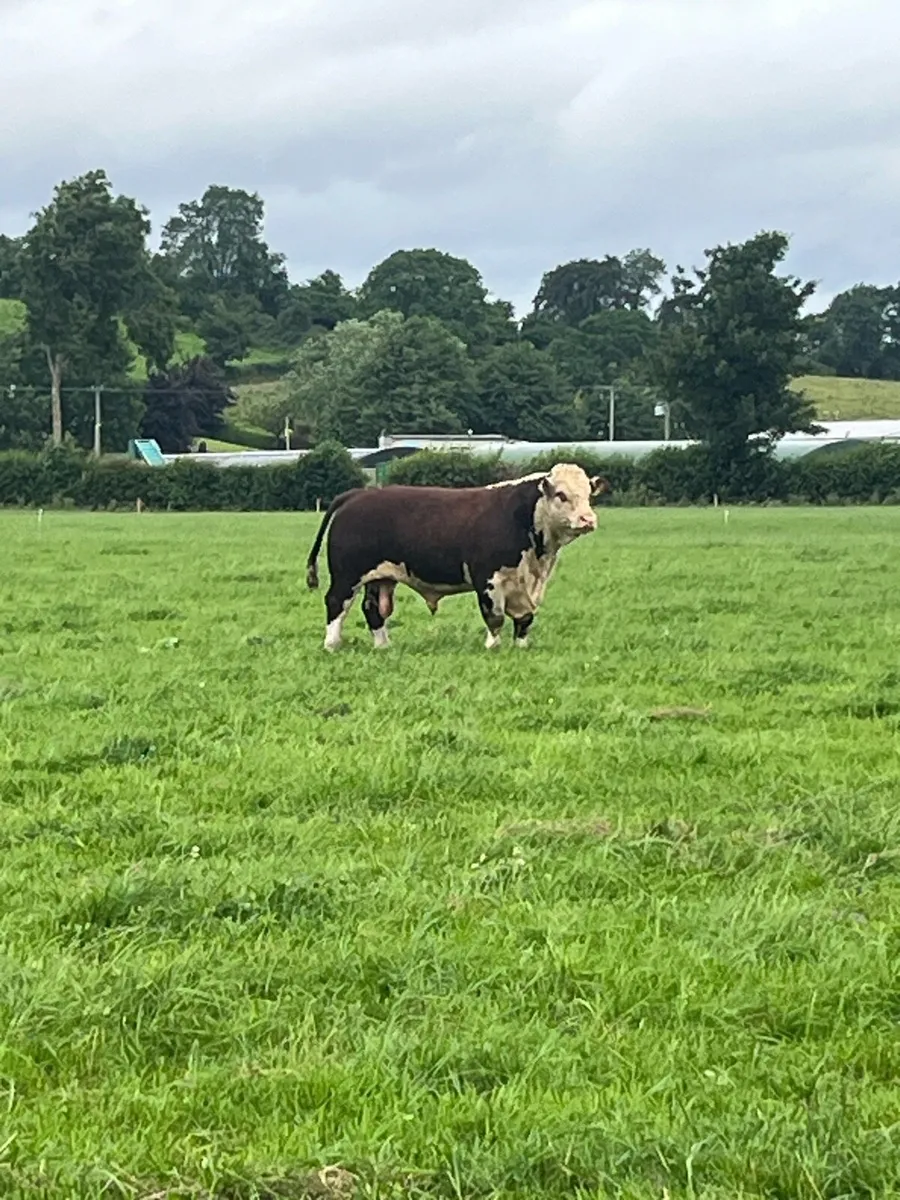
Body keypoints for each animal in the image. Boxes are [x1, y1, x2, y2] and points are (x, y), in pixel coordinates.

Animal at [305, 462, 610, 651]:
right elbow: (494, 617)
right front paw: (493, 647)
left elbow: (524, 618)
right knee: (336, 603)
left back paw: (383, 646)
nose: (588, 519)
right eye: (561, 495)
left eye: (588, 495)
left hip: (380, 578)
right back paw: (331, 645)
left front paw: (521, 647)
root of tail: (359, 494)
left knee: (373, 609)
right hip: (347, 575)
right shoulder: (487, 579)